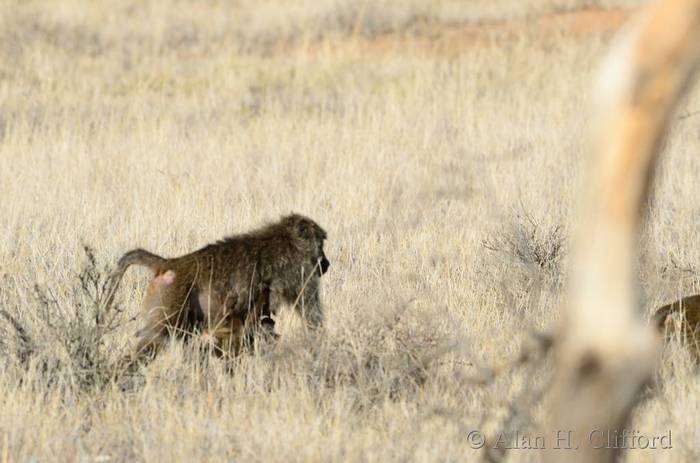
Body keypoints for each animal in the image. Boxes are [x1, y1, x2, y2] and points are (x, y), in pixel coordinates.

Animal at [106, 213, 330, 365]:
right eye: (322, 243)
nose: (327, 264)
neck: (288, 238)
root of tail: (170, 263)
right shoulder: (301, 273)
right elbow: (311, 315)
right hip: (172, 299)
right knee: (156, 337)